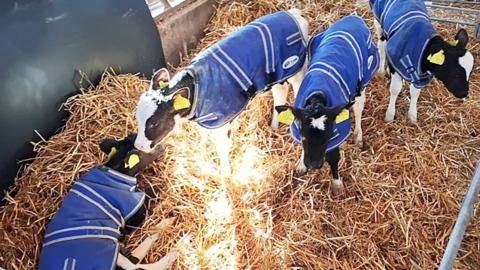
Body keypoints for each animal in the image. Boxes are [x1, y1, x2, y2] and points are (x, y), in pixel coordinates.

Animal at [37, 134, 176, 270]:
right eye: (149, 148)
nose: (163, 146)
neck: (115, 169)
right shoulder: (133, 210)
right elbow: (149, 196)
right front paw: (160, 187)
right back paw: (173, 235)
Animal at [133, 9, 310, 174]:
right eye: (137, 117)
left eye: (154, 122)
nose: (138, 146)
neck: (196, 86)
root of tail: (292, 12)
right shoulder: (206, 119)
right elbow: (203, 135)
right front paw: (202, 150)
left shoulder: (222, 121)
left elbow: (223, 149)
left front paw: (226, 174)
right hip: (278, 74)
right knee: (280, 91)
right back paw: (273, 127)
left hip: (297, 69)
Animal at [276, 14, 380, 195]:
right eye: (303, 137)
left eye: (328, 137)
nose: (313, 164)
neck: (318, 93)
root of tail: (353, 18)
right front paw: (301, 164)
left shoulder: (338, 132)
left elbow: (334, 158)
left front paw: (336, 184)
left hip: (364, 78)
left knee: (358, 107)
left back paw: (358, 136)